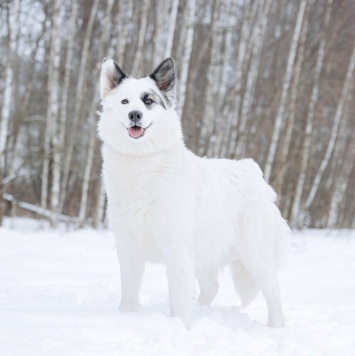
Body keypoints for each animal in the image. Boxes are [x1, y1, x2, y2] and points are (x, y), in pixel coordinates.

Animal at [98, 58, 292, 328]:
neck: (142, 164)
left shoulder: (177, 249)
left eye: (148, 101)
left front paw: (179, 326)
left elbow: (178, 298)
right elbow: (129, 293)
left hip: (255, 255)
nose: (134, 115)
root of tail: (252, 171)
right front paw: (126, 317)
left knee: (273, 290)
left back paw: (275, 327)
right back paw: (201, 312)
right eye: (125, 102)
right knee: (212, 287)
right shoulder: (128, 245)